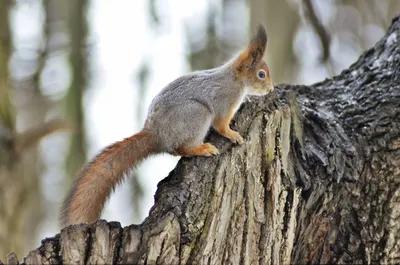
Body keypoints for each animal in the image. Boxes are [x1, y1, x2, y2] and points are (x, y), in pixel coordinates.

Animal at [59, 24, 274, 227]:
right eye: (261, 74)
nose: (271, 89)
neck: (236, 79)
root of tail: (156, 135)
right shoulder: (224, 101)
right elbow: (221, 125)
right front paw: (233, 134)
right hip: (197, 114)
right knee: (181, 148)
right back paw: (202, 149)